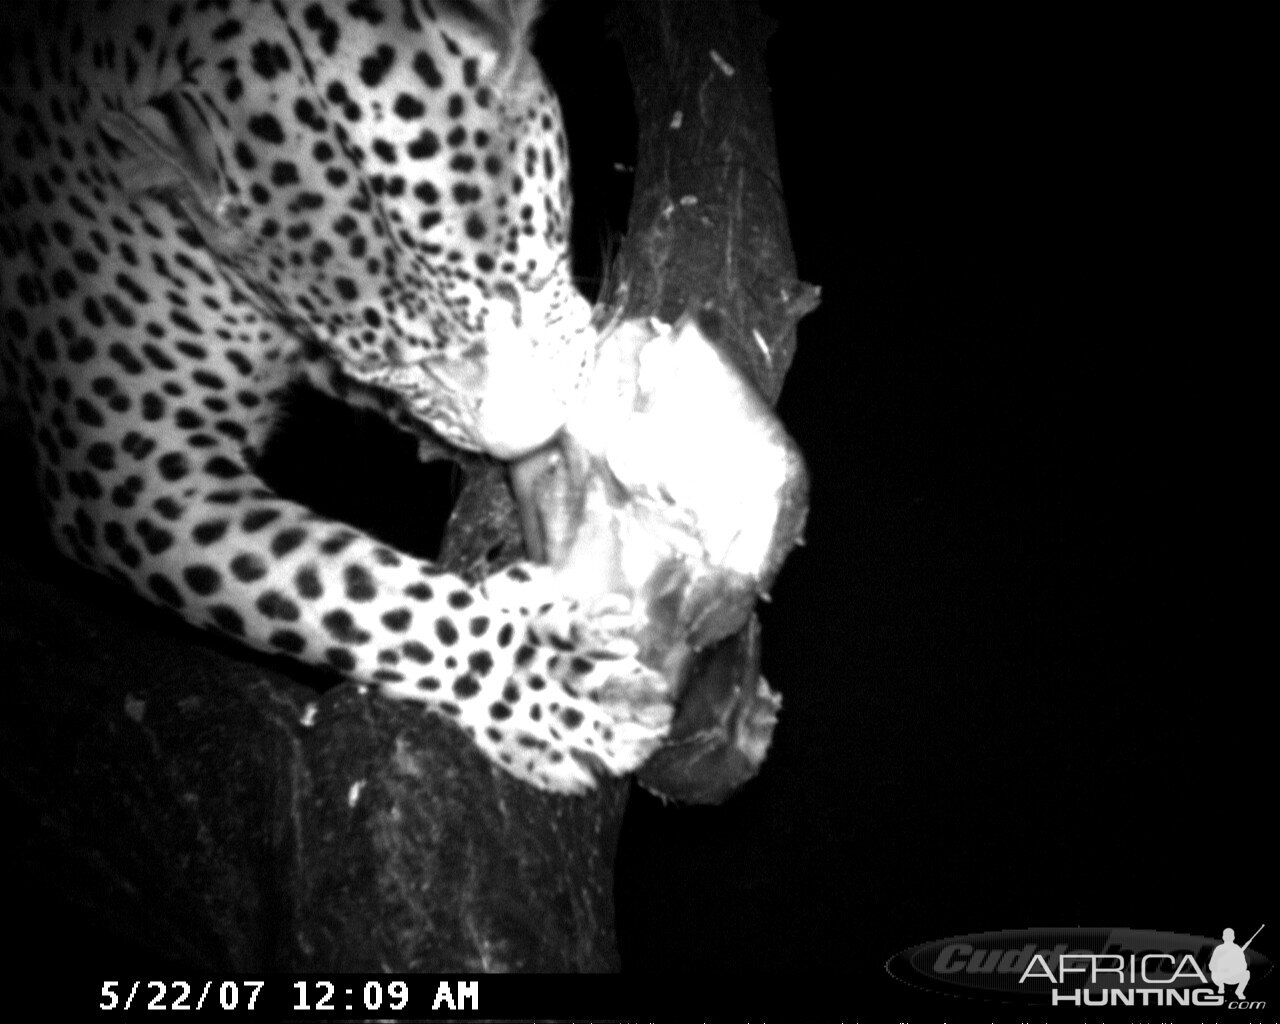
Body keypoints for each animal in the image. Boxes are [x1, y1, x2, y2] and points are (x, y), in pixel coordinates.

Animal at [0, 0, 675, 793]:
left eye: (529, 284)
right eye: (386, 360)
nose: (533, 440)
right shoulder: (130, 474)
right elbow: (362, 600)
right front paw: (548, 686)